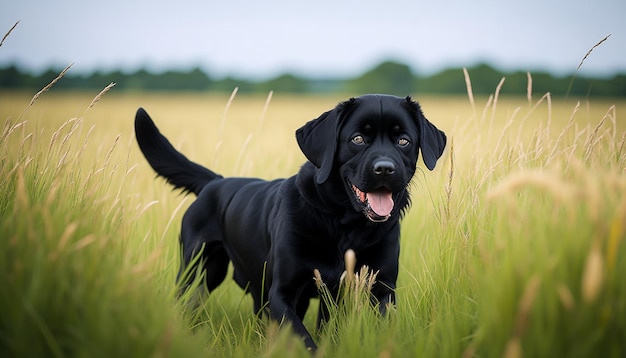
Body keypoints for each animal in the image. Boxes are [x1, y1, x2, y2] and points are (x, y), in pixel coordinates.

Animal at [134, 93, 444, 352]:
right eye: (357, 139)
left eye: (403, 141)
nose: (384, 169)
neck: (344, 227)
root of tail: (215, 182)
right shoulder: (283, 294)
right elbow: (305, 340)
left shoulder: (381, 290)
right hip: (198, 270)